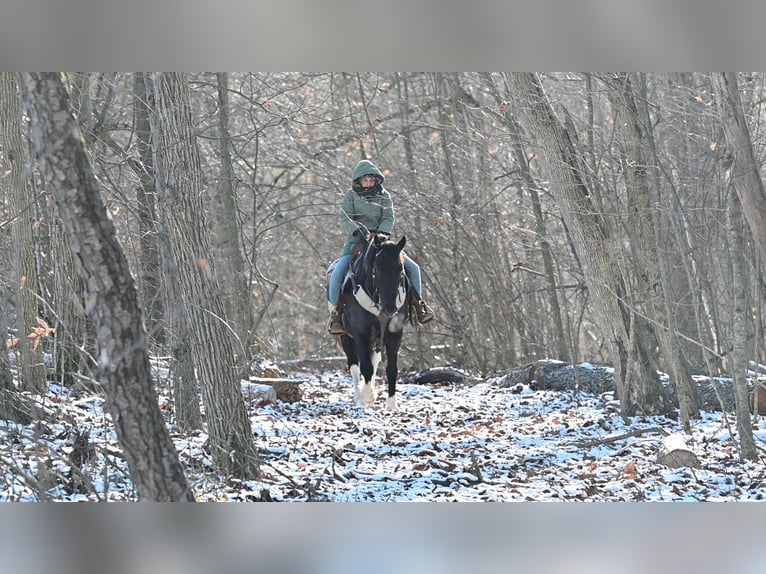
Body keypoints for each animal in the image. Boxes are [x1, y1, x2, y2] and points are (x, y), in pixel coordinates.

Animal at [338, 236, 412, 412]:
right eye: (377, 270)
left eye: (401, 270)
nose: (389, 308)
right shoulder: (360, 334)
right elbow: (365, 367)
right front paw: (365, 397)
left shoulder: (394, 334)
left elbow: (391, 369)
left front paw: (392, 404)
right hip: (346, 337)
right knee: (354, 365)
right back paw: (358, 397)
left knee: (374, 360)